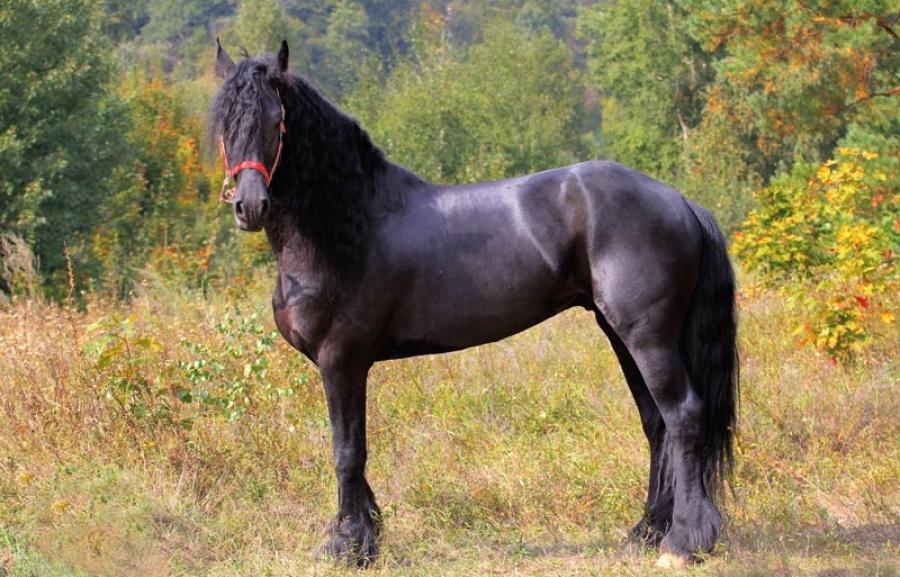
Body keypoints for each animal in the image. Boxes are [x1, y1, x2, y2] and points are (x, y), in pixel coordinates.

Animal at [210, 40, 738, 569]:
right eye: (224, 123)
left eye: (276, 121)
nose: (249, 207)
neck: (351, 226)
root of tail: (681, 202)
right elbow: (355, 453)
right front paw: (365, 534)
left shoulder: (342, 360)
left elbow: (347, 452)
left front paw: (349, 545)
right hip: (622, 334)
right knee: (657, 425)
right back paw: (647, 530)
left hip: (648, 338)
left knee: (683, 417)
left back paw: (683, 542)